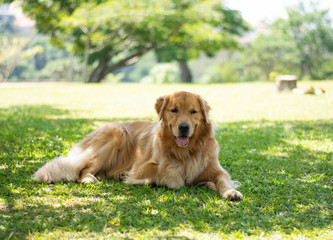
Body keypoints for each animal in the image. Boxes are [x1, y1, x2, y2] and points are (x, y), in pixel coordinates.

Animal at [33, 91, 241, 200]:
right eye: (174, 110)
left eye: (193, 112)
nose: (184, 127)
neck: (187, 151)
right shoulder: (143, 167)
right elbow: (174, 176)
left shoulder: (216, 170)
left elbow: (223, 180)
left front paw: (231, 192)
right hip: (117, 134)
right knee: (82, 170)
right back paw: (90, 178)